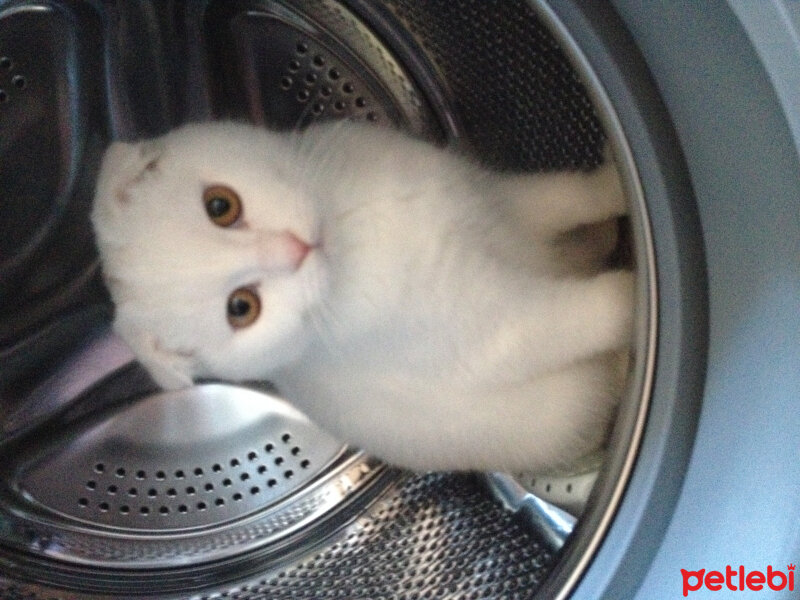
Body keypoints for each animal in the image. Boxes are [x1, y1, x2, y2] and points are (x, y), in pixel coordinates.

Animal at [92, 123, 632, 474]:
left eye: (220, 206)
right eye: (241, 308)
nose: (297, 248)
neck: (354, 231)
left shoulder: (493, 197)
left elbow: (562, 197)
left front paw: (616, 188)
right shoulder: (481, 332)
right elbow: (561, 320)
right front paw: (631, 298)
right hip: (565, 412)